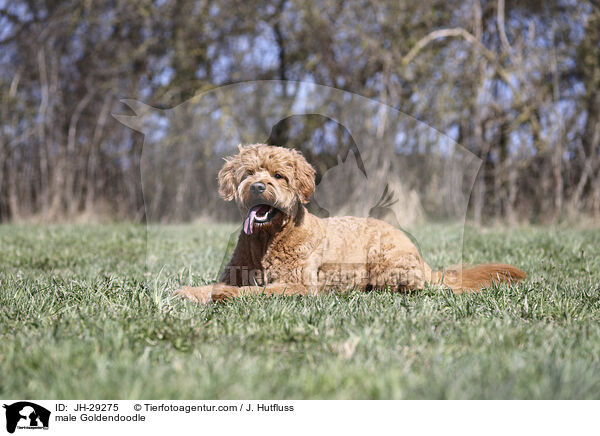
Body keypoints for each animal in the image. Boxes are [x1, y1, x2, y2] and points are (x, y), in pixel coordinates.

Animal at [175, 143, 524, 304]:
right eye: (248, 173)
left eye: (279, 176)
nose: (258, 187)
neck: (267, 239)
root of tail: (423, 260)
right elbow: (215, 285)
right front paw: (189, 292)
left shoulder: (298, 285)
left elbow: (251, 292)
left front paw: (222, 296)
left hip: (385, 262)